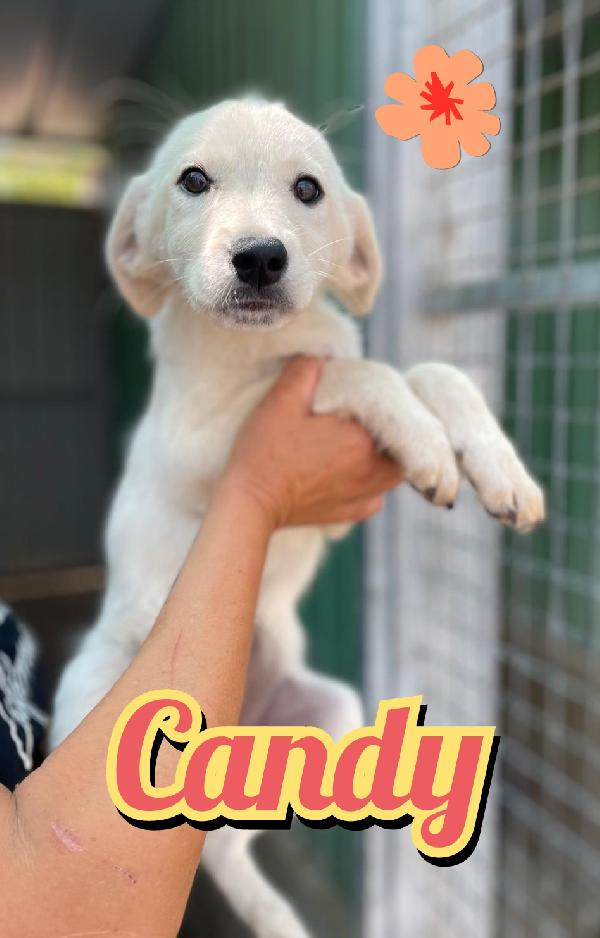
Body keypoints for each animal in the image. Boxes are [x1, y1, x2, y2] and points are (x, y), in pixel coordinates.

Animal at [51, 98, 544, 938]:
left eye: (308, 189)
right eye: (193, 180)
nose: (259, 259)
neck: (269, 339)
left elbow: (430, 370)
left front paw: (496, 466)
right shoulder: (202, 441)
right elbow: (352, 371)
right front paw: (423, 438)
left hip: (327, 714)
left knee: (230, 838)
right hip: (103, 697)